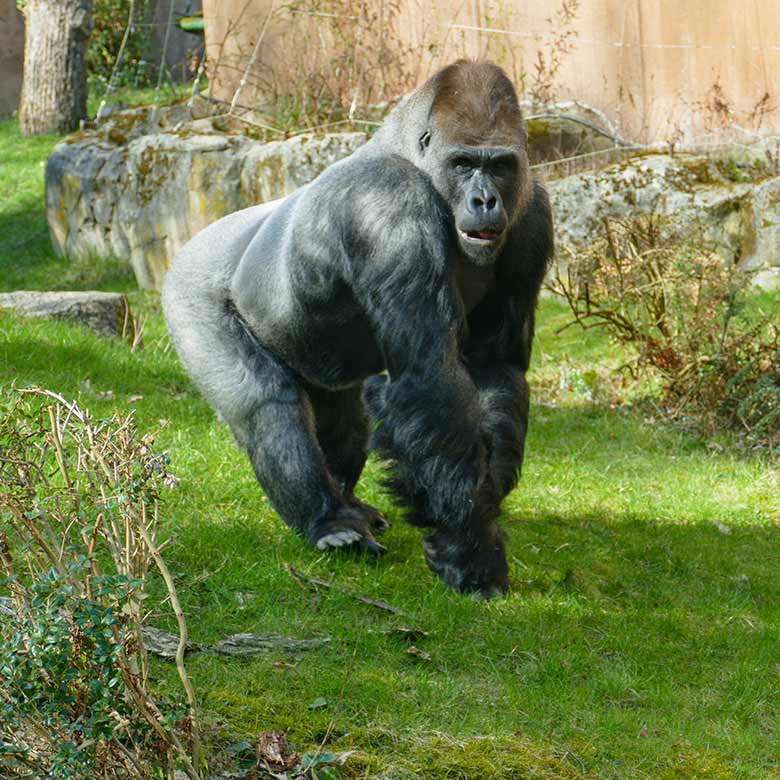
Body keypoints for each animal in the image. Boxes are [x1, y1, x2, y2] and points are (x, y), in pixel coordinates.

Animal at [161, 61, 552, 596]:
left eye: (499, 166)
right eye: (462, 163)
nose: (485, 200)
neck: (411, 152)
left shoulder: (531, 215)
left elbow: (495, 366)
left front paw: (480, 505)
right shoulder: (389, 205)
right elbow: (430, 379)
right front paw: (469, 549)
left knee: (343, 418)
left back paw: (348, 503)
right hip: (189, 289)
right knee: (266, 404)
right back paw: (327, 520)